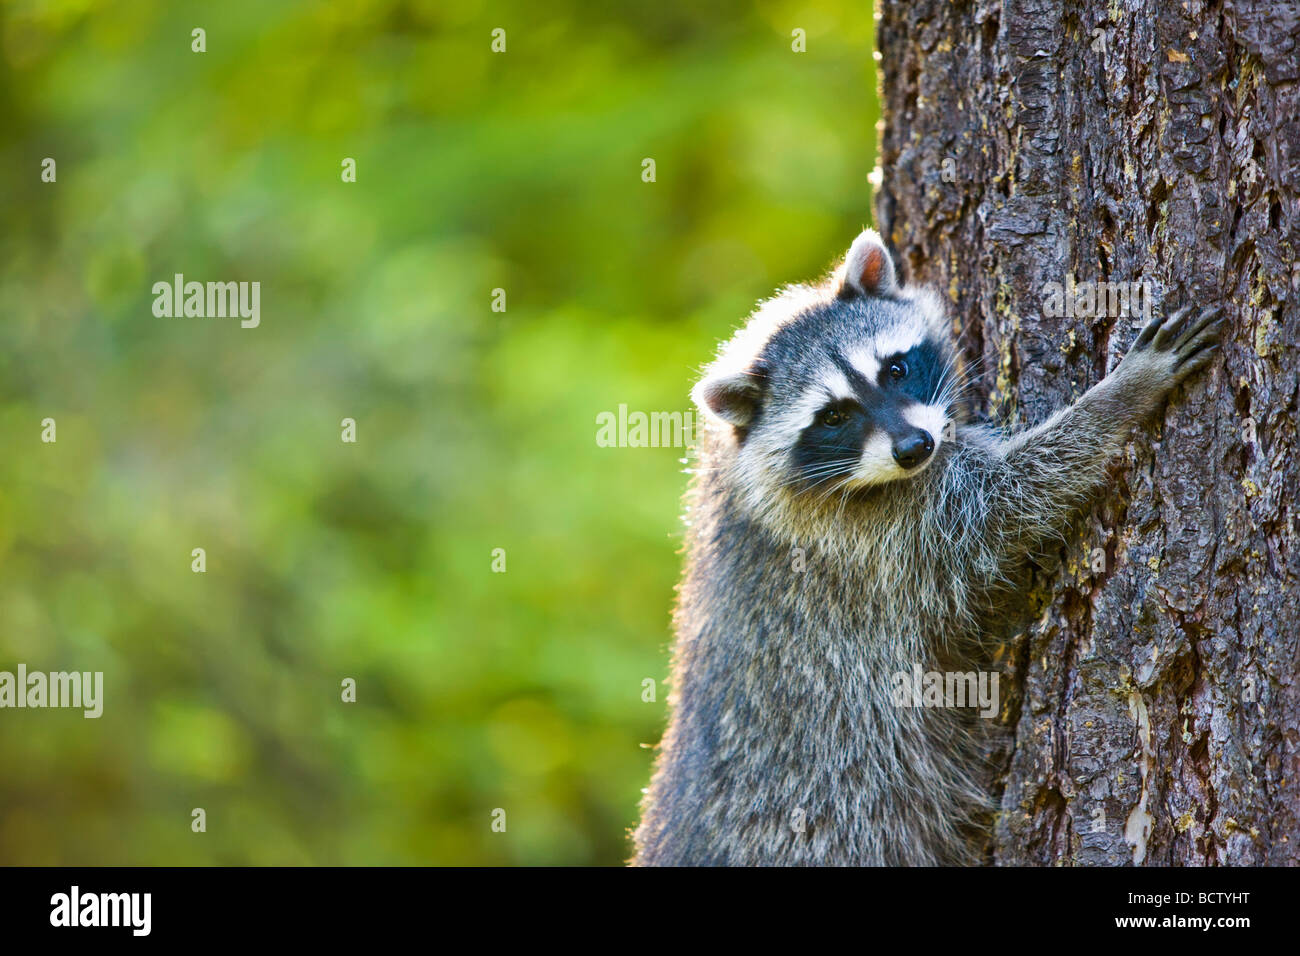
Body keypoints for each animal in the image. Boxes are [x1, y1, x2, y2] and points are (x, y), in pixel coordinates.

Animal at [632, 228, 1223, 866]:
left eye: (895, 368)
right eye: (833, 415)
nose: (915, 446)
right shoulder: (878, 533)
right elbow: (1014, 498)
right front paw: (1120, 396)